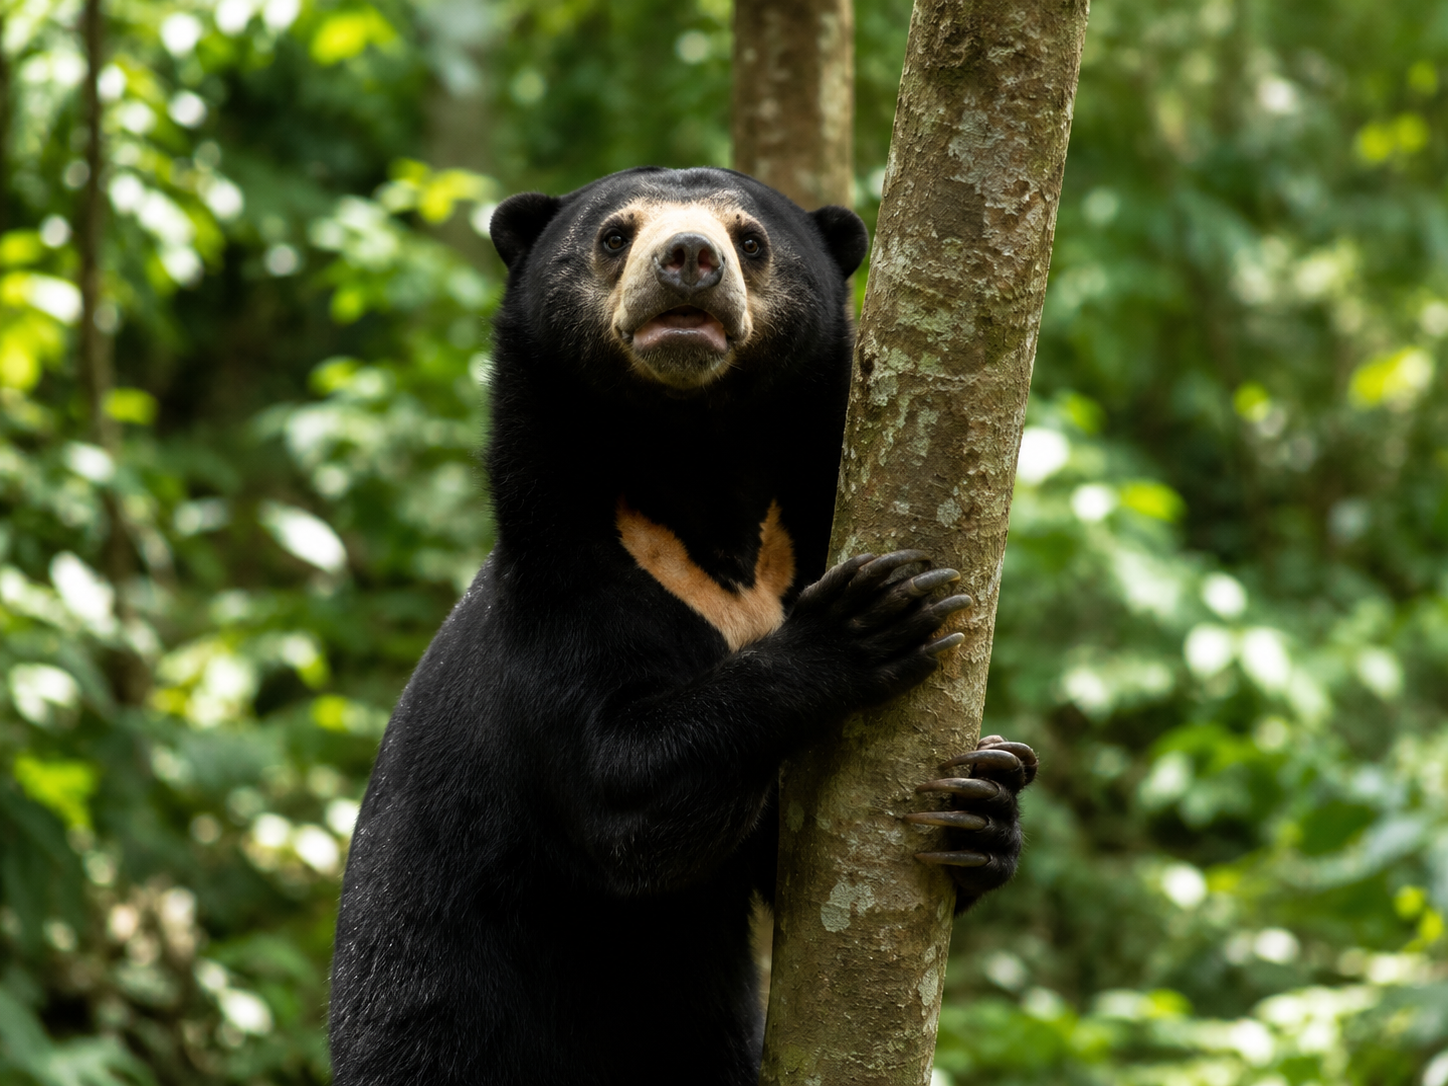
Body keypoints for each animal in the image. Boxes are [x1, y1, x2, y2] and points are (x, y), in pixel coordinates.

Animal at [327, 166, 1038, 1086]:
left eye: (751, 239)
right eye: (614, 235)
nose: (690, 259)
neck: (696, 465)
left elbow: (781, 847)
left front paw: (984, 801)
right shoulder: (561, 596)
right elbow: (626, 792)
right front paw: (872, 616)